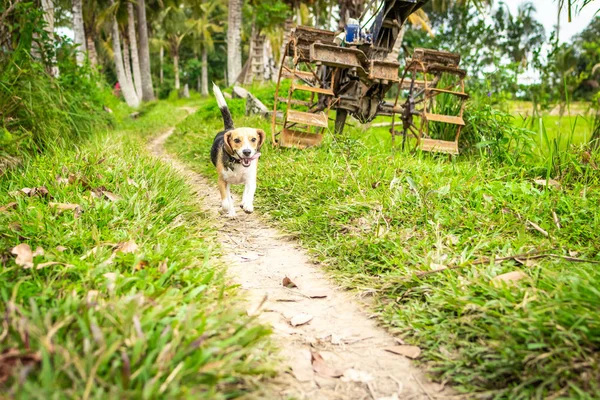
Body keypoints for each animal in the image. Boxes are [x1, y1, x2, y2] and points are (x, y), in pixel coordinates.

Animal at [212, 82, 266, 217]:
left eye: (253, 139)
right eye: (236, 140)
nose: (247, 152)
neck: (238, 163)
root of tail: (229, 129)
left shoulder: (251, 179)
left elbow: (249, 192)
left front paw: (247, 205)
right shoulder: (222, 180)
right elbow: (226, 202)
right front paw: (224, 210)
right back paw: (231, 212)